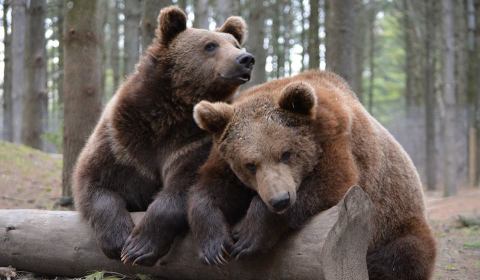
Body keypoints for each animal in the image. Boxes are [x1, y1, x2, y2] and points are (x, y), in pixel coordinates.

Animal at [72, 5, 253, 266]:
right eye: (210, 45)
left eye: (236, 44)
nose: (246, 59)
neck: (170, 111)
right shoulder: (121, 140)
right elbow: (95, 181)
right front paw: (118, 240)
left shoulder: (192, 143)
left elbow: (183, 188)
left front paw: (138, 248)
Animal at [189, 70, 436, 280]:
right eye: (250, 164)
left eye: (286, 153)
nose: (280, 200)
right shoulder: (225, 164)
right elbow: (210, 190)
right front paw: (214, 246)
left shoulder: (339, 142)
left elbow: (331, 183)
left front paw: (249, 237)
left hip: (395, 222)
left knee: (403, 255)